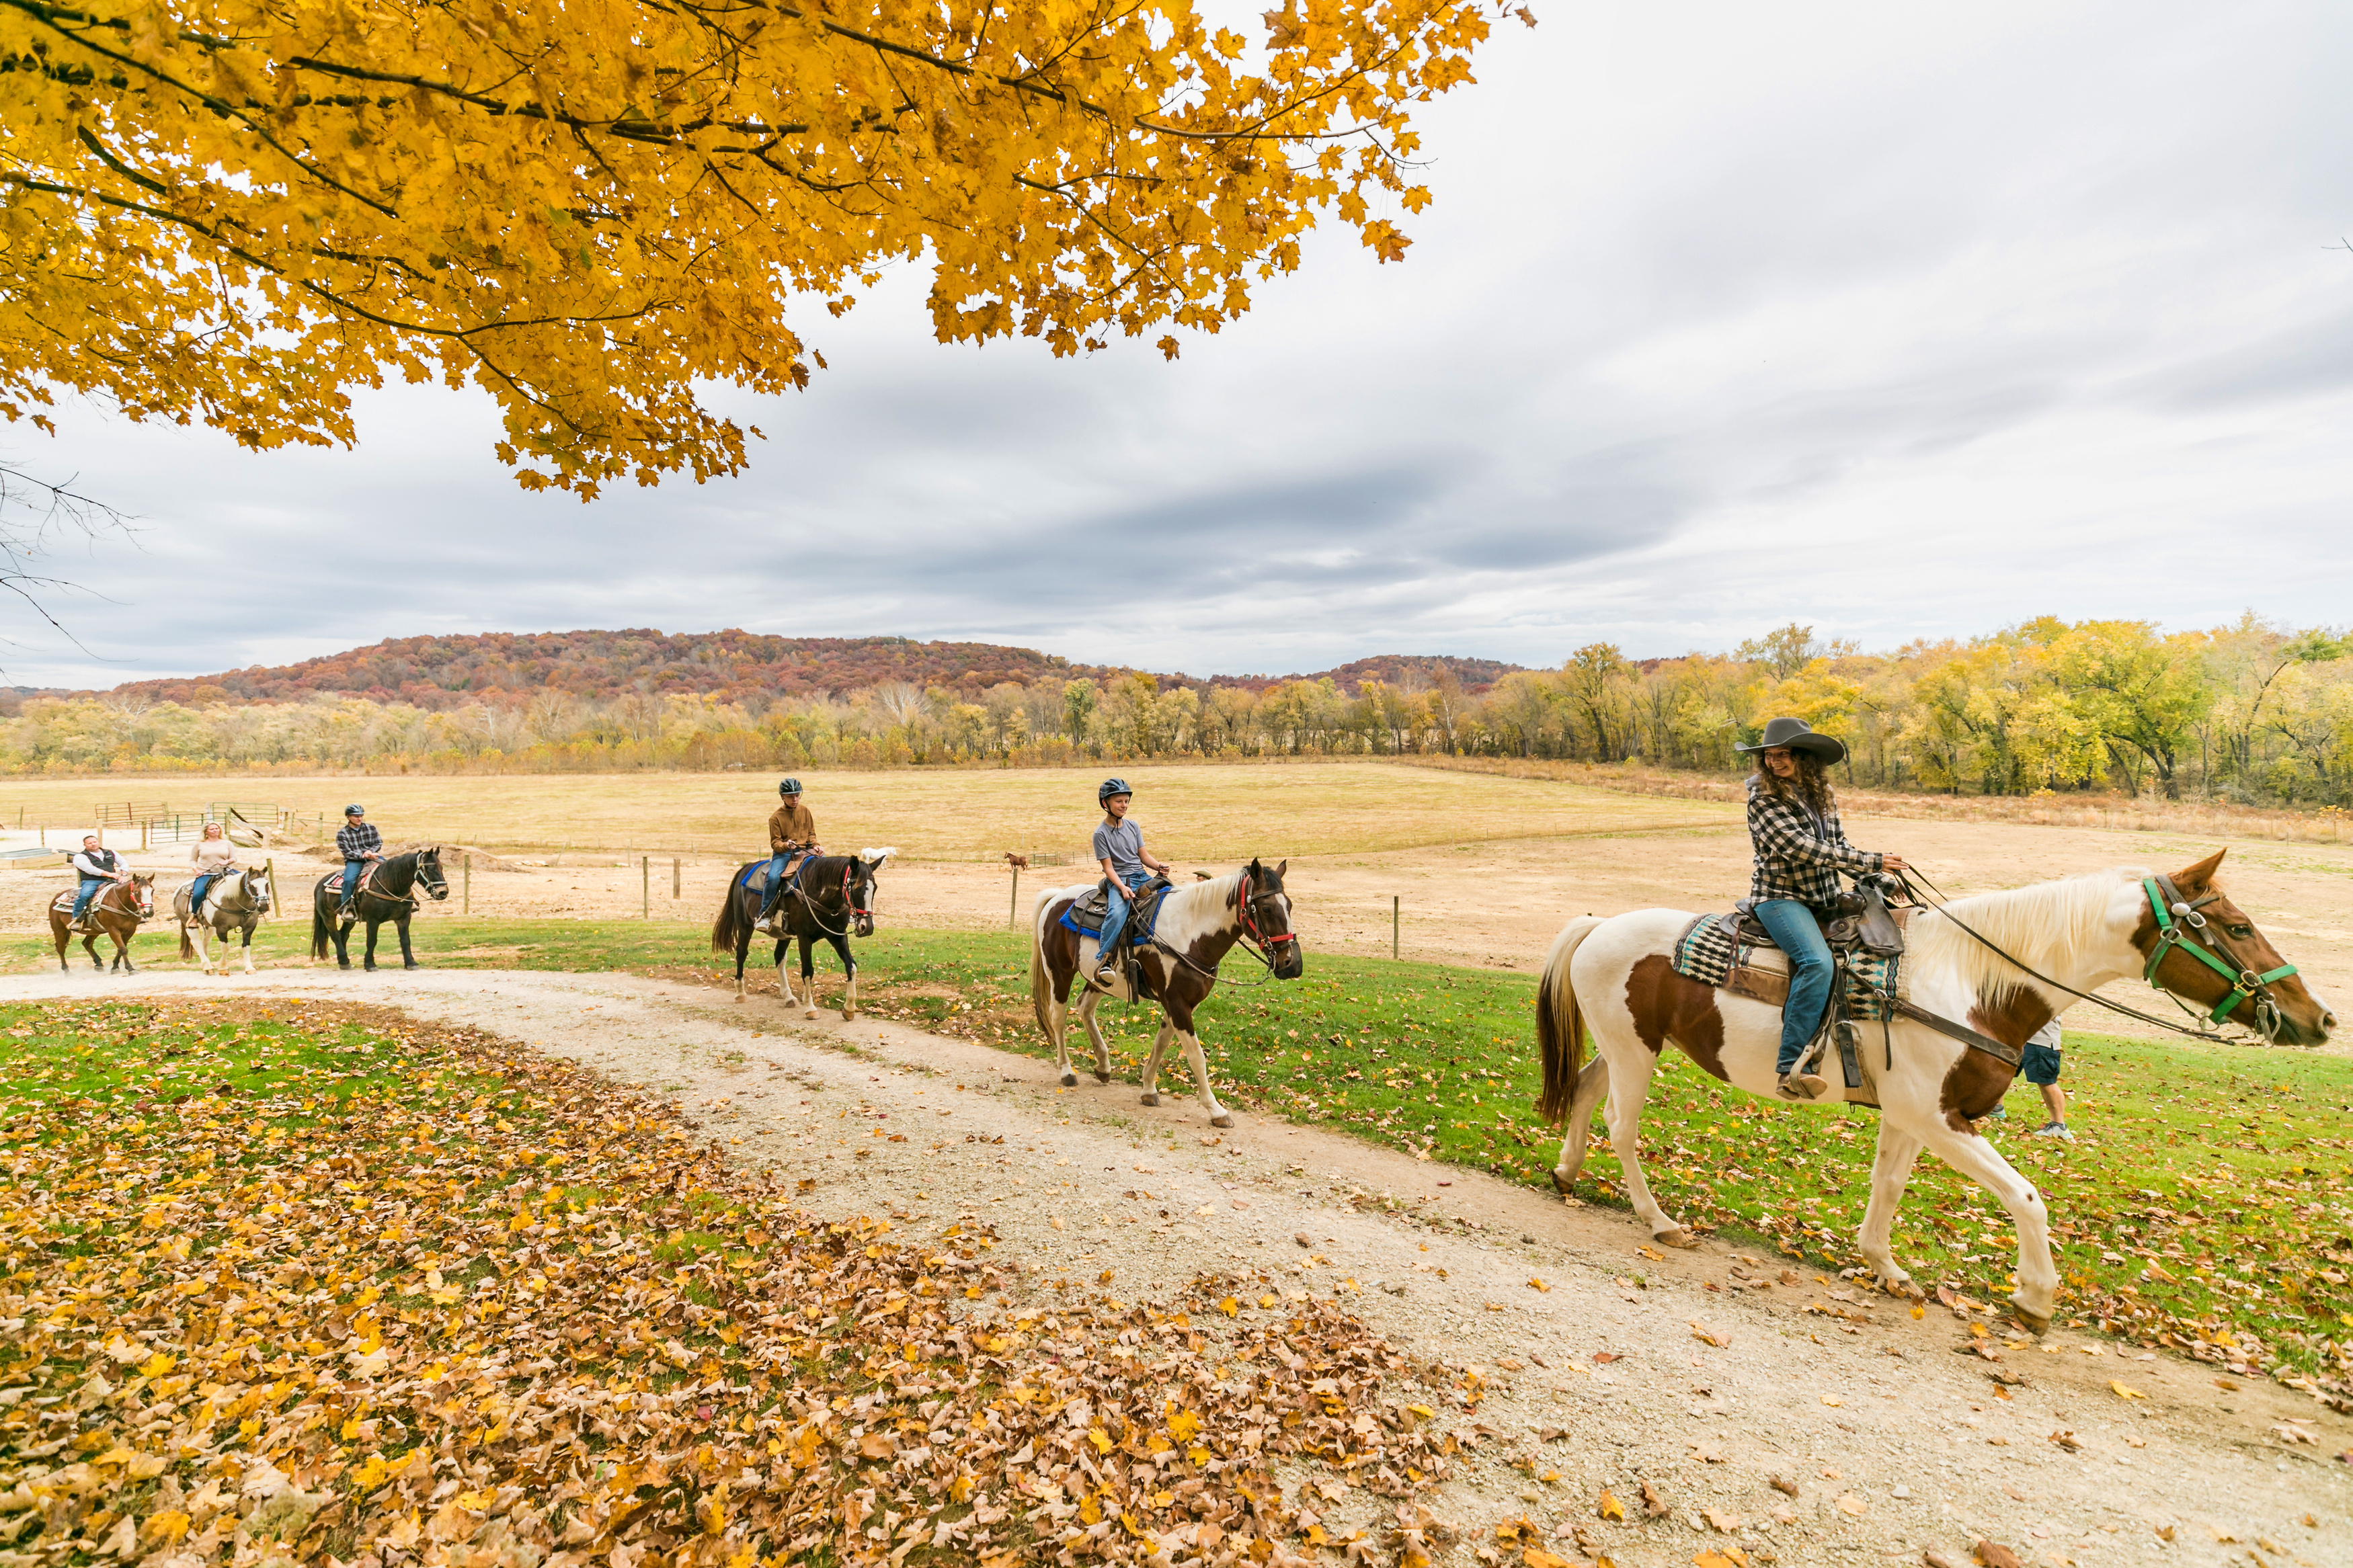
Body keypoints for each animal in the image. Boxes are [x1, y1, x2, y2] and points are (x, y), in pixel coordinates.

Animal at [49, 879, 157, 973]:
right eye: (137, 892)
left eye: (152, 891)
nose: (148, 912)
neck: (119, 903)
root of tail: (56, 897)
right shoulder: (113, 930)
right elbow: (123, 949)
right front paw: (130, 968)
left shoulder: (130, 930)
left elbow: (121, 948)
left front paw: (115, 967)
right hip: (59, 930)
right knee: (61, 948)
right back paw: (66, 970)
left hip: (94, 930)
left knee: (86, 944)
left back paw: (99, 964)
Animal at [308, 846, 444, 968]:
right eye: (430, 869)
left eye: (441, 867)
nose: (443, 892)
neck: (391, 886)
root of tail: (320, 884)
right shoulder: (372, 920)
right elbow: (372, 941)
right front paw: (370, 964)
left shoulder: (404, 918)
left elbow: (405, 941)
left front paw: (411, 963)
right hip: (328, 916)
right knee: (335, 935)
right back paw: (344, 960)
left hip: (349, 919)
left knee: (343, 934)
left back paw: (343, 962)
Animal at [706, 846, 889, 1020]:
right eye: (856, 889)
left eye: (875, 889)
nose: (867, 927)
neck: (820, 893)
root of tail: (745, 868)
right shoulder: (804, 938)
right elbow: (808, 971)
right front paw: (810, 1009)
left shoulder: (837, 936)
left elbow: (851, 966)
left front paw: (849, 1009)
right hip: (745, 927)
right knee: (741, 954)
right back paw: (740, 993)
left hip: (783, 934)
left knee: (779, 957)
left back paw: (788, 997)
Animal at [1026, 860, 1308, 1128]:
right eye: (1267, 908)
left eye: (1290, 905)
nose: (1292, 964)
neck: (1192, 935)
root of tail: (1057, 896)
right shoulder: (1178, 1004)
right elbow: (1196, 1056)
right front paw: (1216, 1110)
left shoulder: (1182, 1004)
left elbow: (1161, 1044)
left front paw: (1148, 1089)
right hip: (1059, 973)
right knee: (1059, 1019)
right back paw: (1067, 1071)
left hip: (1099, 981)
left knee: (1084, 1007)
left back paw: (1104, 1066)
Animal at [1534, 851, 2325, 1335]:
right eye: (2236, 926)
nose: (2319, 1018)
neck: (1975, 983)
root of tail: (1598, 925)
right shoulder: (1940, 1117)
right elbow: (2026, 1196)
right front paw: (2034, 1296)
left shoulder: (1911, 1116)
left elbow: (1887, 1185)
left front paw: (1885, 1267)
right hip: (1635, 1054)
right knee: (1621, 1126)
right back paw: (1657, 1219)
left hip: (1626, 1047)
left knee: (1584, 1091)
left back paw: (1567, 1172)